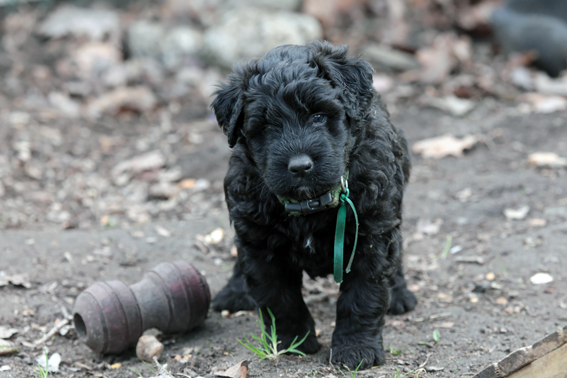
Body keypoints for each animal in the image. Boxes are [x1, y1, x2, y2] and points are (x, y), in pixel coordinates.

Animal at [211, 41, 414, 370]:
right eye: (265, 127)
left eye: (318, 116)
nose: (299, 166)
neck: (309, 202)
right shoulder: (260, 244)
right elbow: (279, 299)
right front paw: (293, 342)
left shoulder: (372, 237)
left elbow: (363, 296)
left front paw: (356, 349)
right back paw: (233, 292)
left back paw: (399, 293)